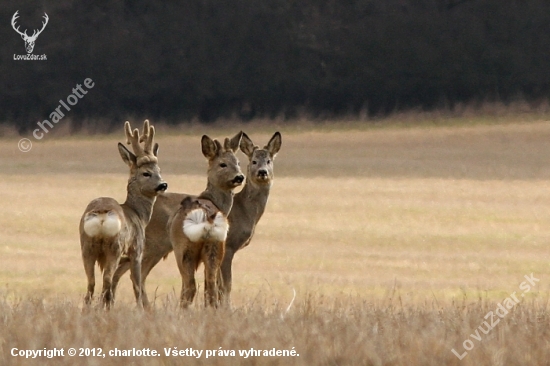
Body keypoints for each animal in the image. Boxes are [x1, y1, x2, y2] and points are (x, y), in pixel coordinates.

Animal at [78, 121, 167, 308]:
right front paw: (141, 308)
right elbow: (137, 285)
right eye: (146, 173)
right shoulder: (137, 250)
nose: (163, 185)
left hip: (86, 246)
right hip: (115, 247)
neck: (138, 214)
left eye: (159, 170)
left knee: (91, 283)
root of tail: (101, 215)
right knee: (107, 281)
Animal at [111, 133, 245, 308]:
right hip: (198, 247)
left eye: (238, 163)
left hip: (184, 248)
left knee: (192, 285)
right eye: (223, 164)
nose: (240, 177)